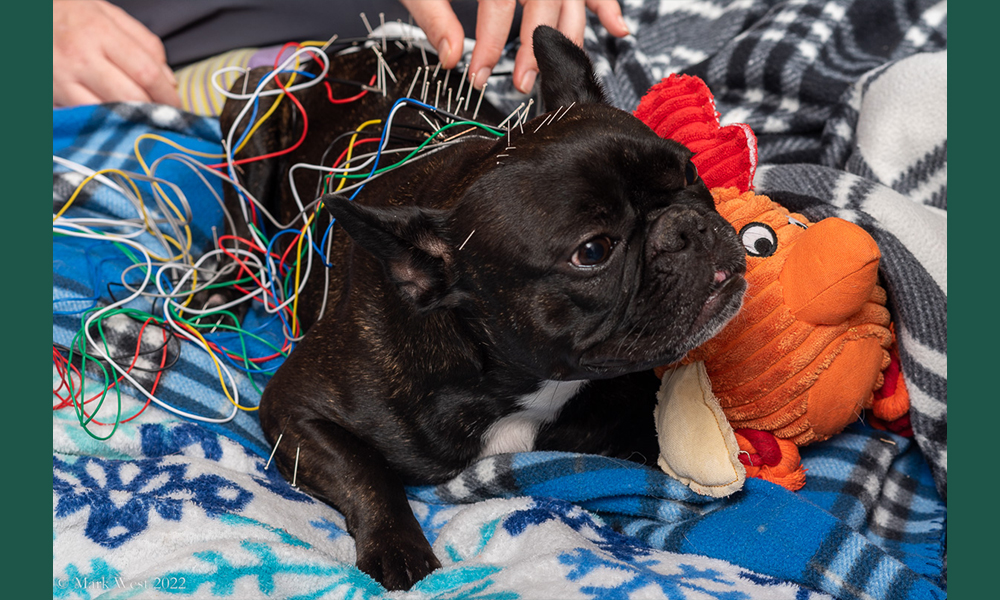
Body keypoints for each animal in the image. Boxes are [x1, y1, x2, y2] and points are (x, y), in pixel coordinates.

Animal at [221, 27, 752, 592]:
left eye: (690, 170)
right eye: (593, 251)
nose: (687, 227)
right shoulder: (295, 408)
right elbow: (364, 470)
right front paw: (398, 547)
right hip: (250, 131)